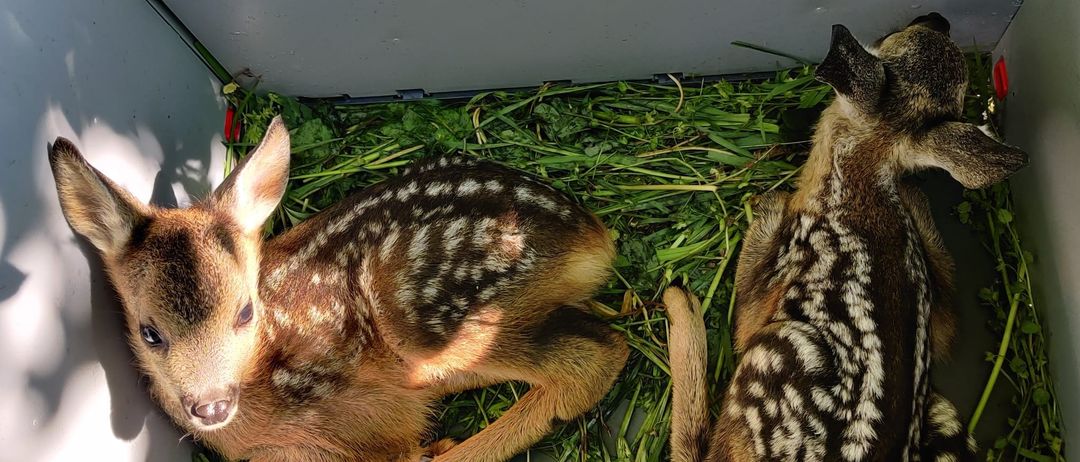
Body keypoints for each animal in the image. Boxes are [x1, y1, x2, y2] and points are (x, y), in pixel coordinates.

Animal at [48, 116, 629, 462]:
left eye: (245, 312)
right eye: (150, 332)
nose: (210, 407)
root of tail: (593, 234)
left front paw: (427, 447)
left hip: (423, 311)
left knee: (593, 356)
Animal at [664, 13, 1028, 462]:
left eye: (888, 40)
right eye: (905, 35)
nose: (938, 18)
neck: (859, 181)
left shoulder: (767, 284)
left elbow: (752, 274)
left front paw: (767, 201)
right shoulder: (937, 310)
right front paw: (913, 193)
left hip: (775, 352)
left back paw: (678, 300)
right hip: (942, 411)